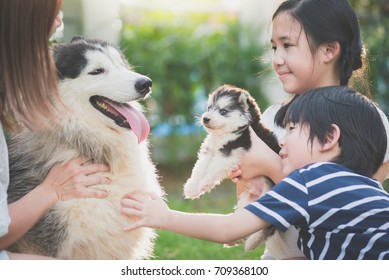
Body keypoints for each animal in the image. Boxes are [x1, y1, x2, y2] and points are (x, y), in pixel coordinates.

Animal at [183, 84, 278, 250]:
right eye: (209, 108)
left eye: (223, 111)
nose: (205, 118)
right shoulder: (209, 152)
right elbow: (198, 169)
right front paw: (192, 188)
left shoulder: (229, 152)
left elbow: (212, 170)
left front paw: (204, 184)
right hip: (246, 205)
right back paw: (234, 240)